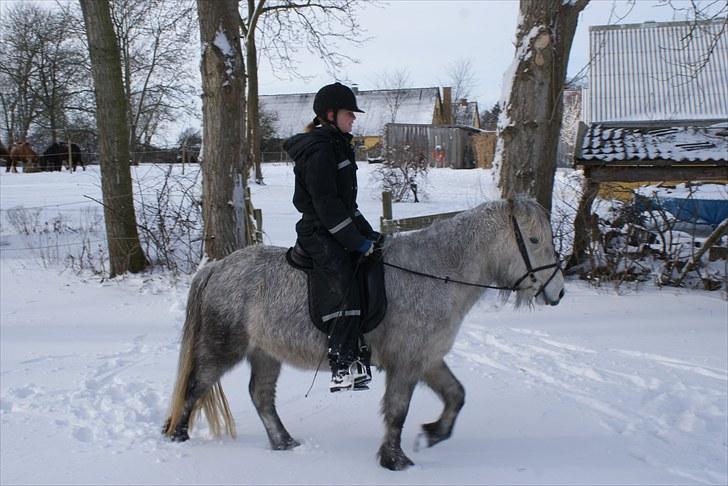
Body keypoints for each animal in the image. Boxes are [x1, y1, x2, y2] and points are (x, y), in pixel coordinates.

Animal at [162, 196, 564, 468]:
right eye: (533, 240)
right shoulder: (407, 362)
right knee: (196, 385)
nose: (557, 292)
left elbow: (456, 396)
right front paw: (395, 460)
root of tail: (217, 267)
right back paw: (178, 435)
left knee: (260, 396)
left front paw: (431, 435)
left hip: (266, 352)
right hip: (223, 346)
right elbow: (398, 410)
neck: (434, 271)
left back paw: (285, 443)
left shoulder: (427, 358)